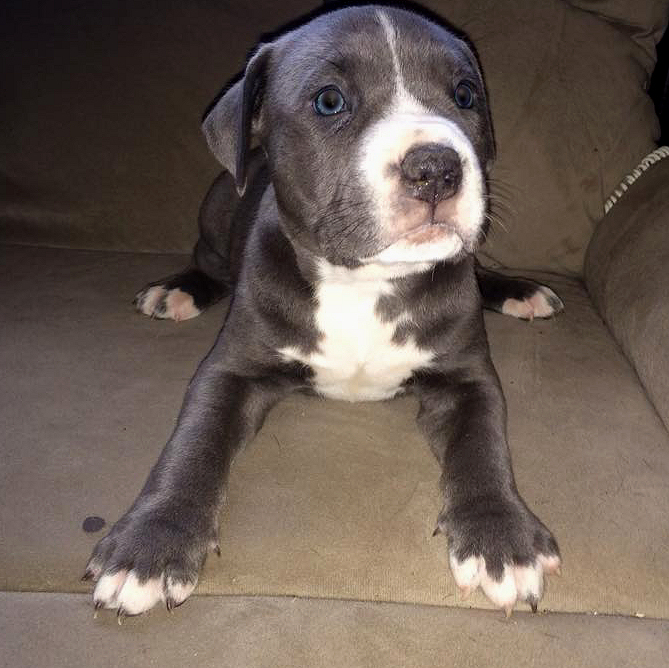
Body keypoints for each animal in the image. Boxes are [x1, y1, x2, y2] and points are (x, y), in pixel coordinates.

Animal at [84, 4, 563, 619]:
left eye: (464, 95)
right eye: (330, 101)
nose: (436, 167)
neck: (363, 280)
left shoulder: (468, 376)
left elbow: (483, 444)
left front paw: (500, 536)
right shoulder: (229, 370)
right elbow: (193, 443)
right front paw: (151, 543)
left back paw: (520, 292)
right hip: (216, 212)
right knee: (208, 260)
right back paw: (178, 289)